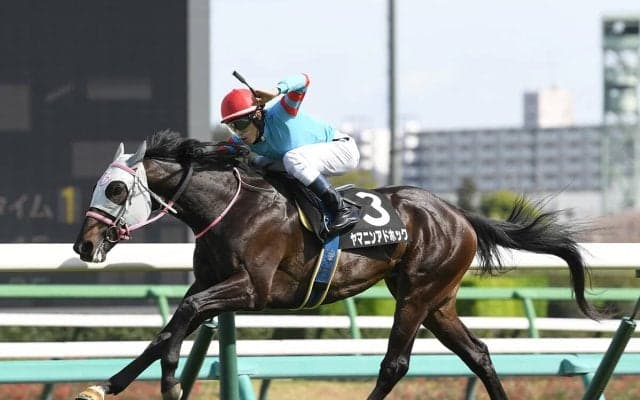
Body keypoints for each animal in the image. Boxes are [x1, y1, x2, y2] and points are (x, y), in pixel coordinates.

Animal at [73, 130, 598, 400]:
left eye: (115, 189)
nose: (84, 244)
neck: (231, 206)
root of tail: (458, 214)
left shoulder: (253, 290)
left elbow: (181, 319)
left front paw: (169, 380)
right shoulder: (210, 281)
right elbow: (166, 328)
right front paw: (106, 385)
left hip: (416, 294)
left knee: (395, 364)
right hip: (439, 302)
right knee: (479, 353)